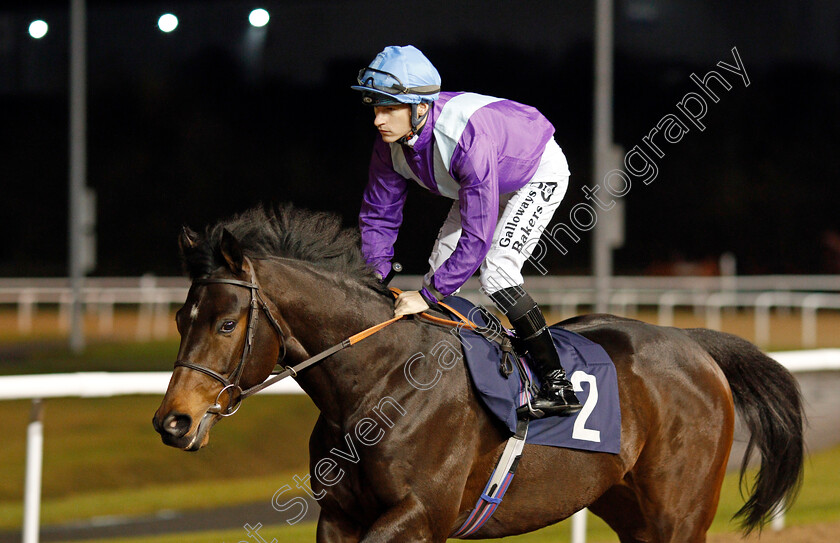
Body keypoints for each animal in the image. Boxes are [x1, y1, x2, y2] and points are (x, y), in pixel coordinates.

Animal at [154, 205, 804, 543]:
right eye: (182, 317)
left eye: (227, 323)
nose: (173, 422)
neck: (378, 386)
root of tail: (693, 345)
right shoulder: (340, 517)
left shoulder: (420, 516)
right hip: (629, 509)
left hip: (680, 514)